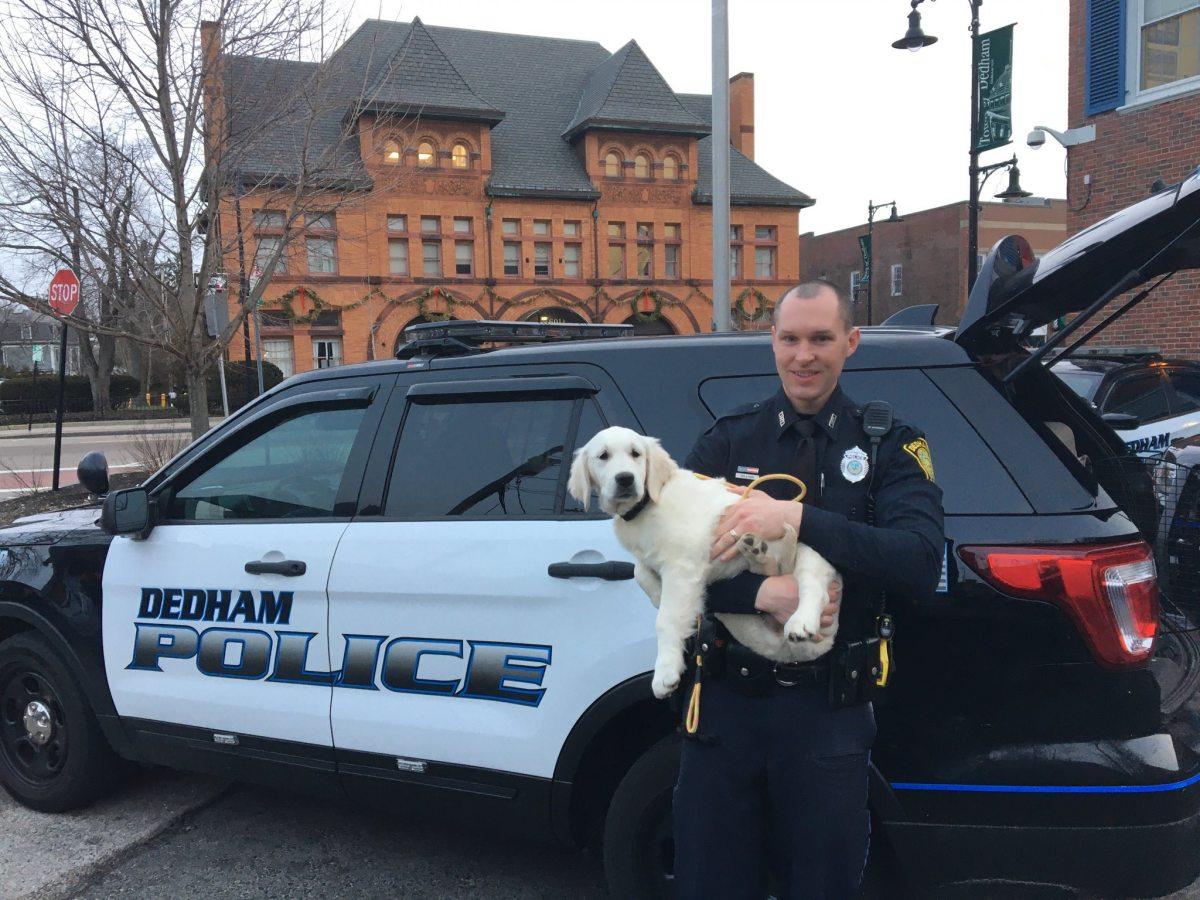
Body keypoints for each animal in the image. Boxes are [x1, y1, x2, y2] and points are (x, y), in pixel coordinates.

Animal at [566, 427, 840, 700]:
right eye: (603, 456)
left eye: (636, 453)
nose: (625, 479)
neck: (646, 505)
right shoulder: (656, 561)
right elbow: (638, 571)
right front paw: (657, 595)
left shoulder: (681, 568)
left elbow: (665, 619)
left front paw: (665, 672)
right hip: (741, 621)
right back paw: (756, 551)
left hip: (810, 552)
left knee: (814, 587)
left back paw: (800, 621)